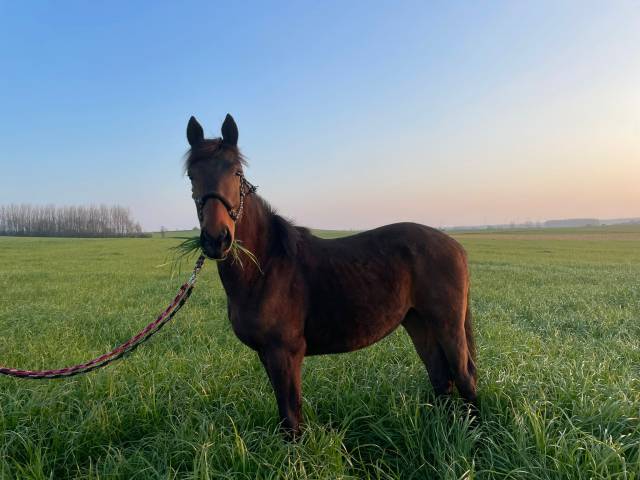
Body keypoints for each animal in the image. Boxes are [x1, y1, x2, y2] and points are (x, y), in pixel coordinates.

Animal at [184, 114, 477, 436]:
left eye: (236, 172)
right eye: (191, 176)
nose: (217, 239)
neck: (265, 267)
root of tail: (454, 245)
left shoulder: (285, 352)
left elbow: (291, 417)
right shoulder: (267, 353)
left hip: (447, 324)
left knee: (464, 376)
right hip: (418, 321)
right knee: (440, 376)